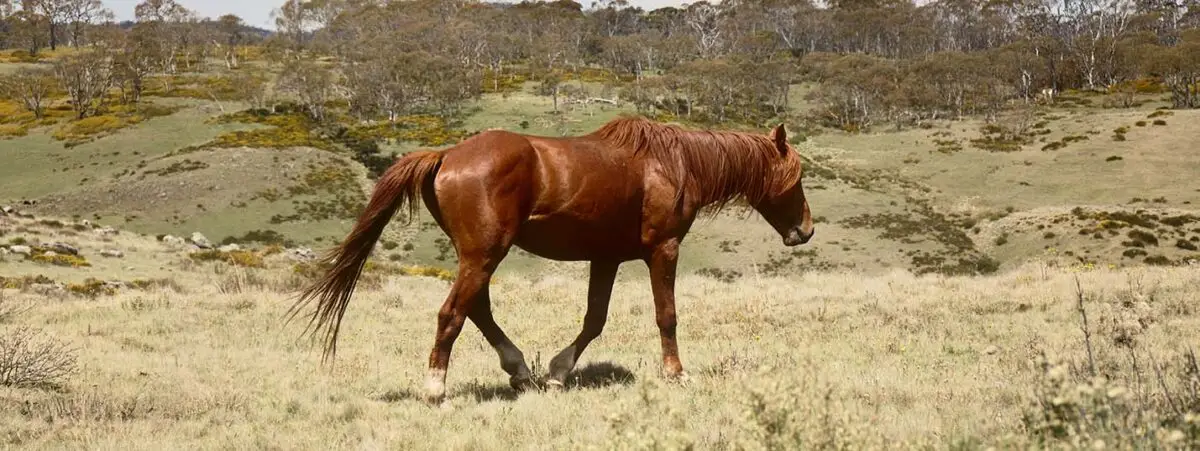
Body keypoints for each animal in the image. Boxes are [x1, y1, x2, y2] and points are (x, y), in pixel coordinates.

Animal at [285, 115, 816, 404]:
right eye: (796, 177)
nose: (806, 230)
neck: (672, 165)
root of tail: (448, 155)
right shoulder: (663, 250)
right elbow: (667, 315)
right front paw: (676, 373)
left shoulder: (606, 259)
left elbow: (594, 320)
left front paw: (559, 372)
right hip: (484, 254)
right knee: (453, 313)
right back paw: (436, 388)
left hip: (478, 255)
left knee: (477, 310)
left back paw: (520, 370)